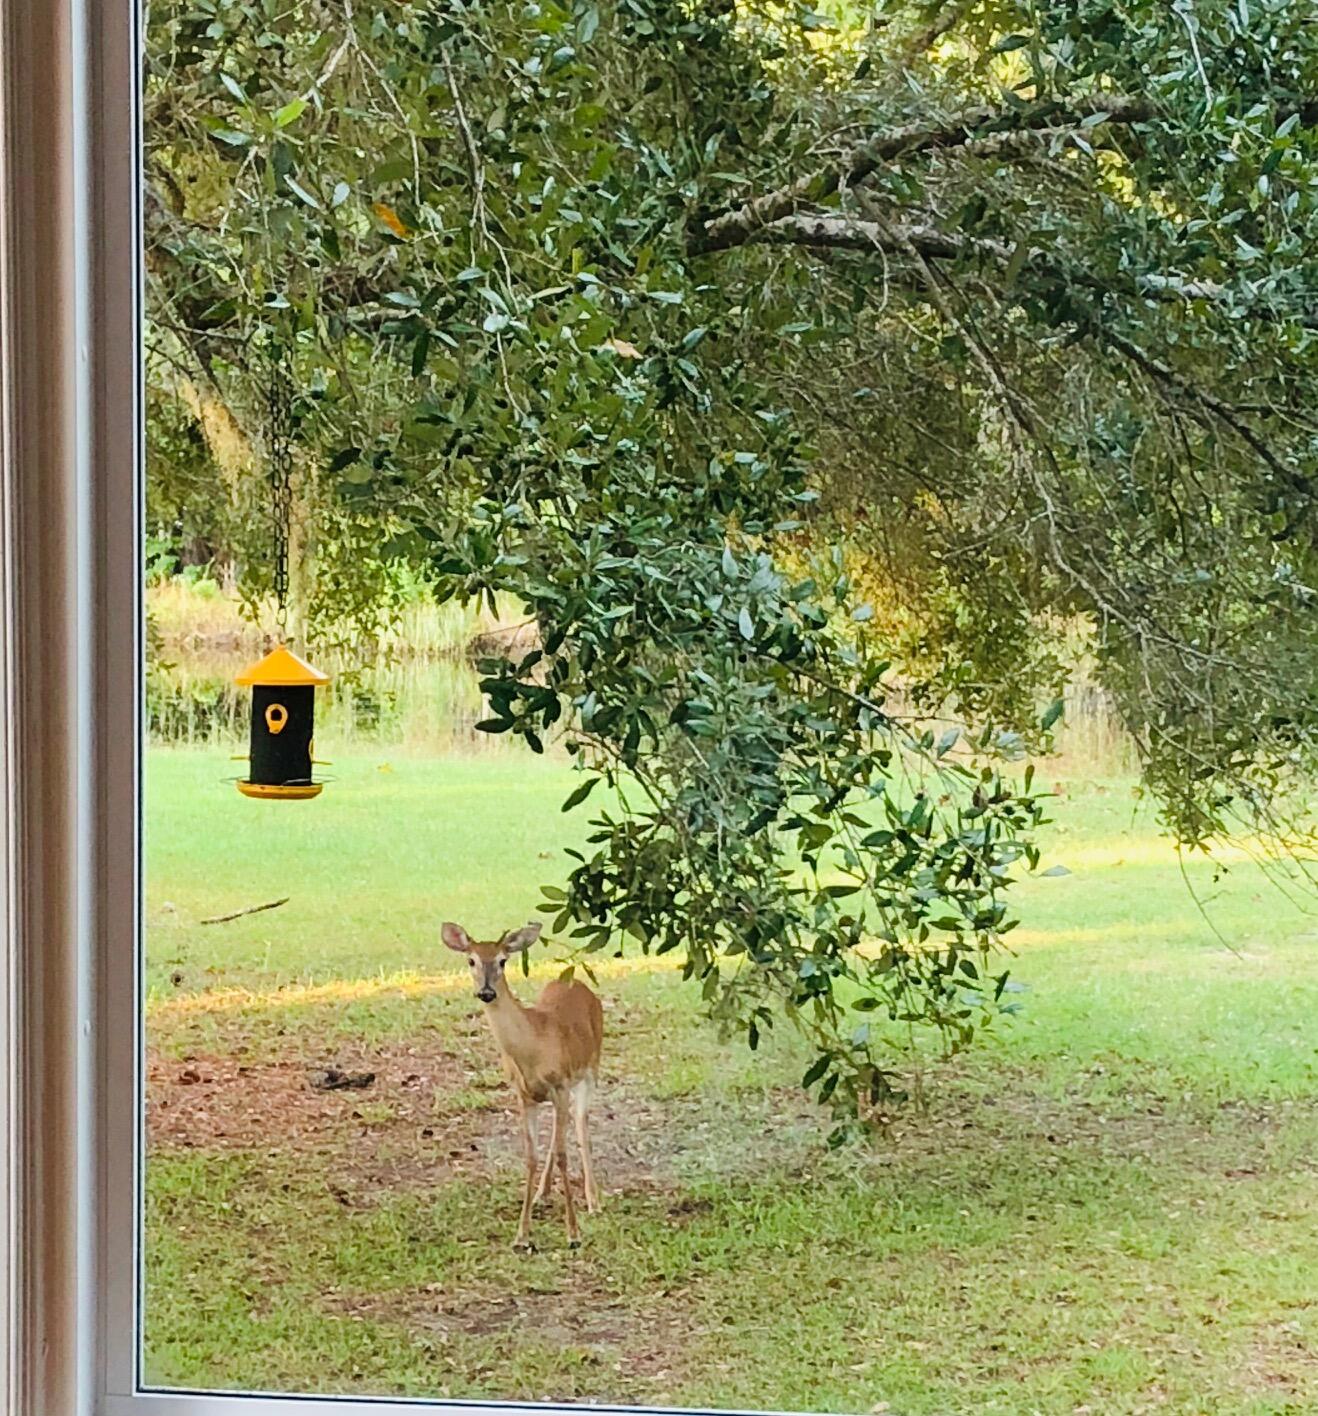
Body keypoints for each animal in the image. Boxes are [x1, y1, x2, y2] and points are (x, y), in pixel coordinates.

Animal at [442, 920, 603, 1251]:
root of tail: (580, 985)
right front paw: (522, 1236)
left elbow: (563, 1155)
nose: (486, 992)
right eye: (471, 960)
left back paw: (594, 1201)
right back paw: (543, 1194)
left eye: (503, 960)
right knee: (559, 1134)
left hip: (590, 1071)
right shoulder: (523, 1094)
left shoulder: (561, 1084)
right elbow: (530, 1157)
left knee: (581, 1128)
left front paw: (573, 1234)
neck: (532, 1048)